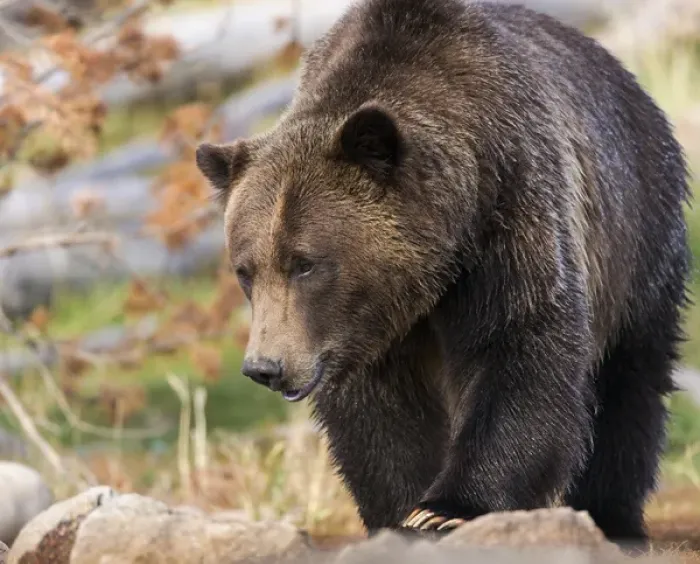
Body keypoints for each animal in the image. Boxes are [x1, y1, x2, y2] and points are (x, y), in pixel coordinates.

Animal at [195, 0, 692, 545]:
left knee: (629, 379)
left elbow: (521, 347)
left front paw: (447, 508)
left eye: (305, 263)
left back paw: (612, 516)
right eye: (246, 270)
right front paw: (404, 511)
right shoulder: (363, 332)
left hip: (638, 226)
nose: (265, 366)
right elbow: (380, 412)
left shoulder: (512, 211)